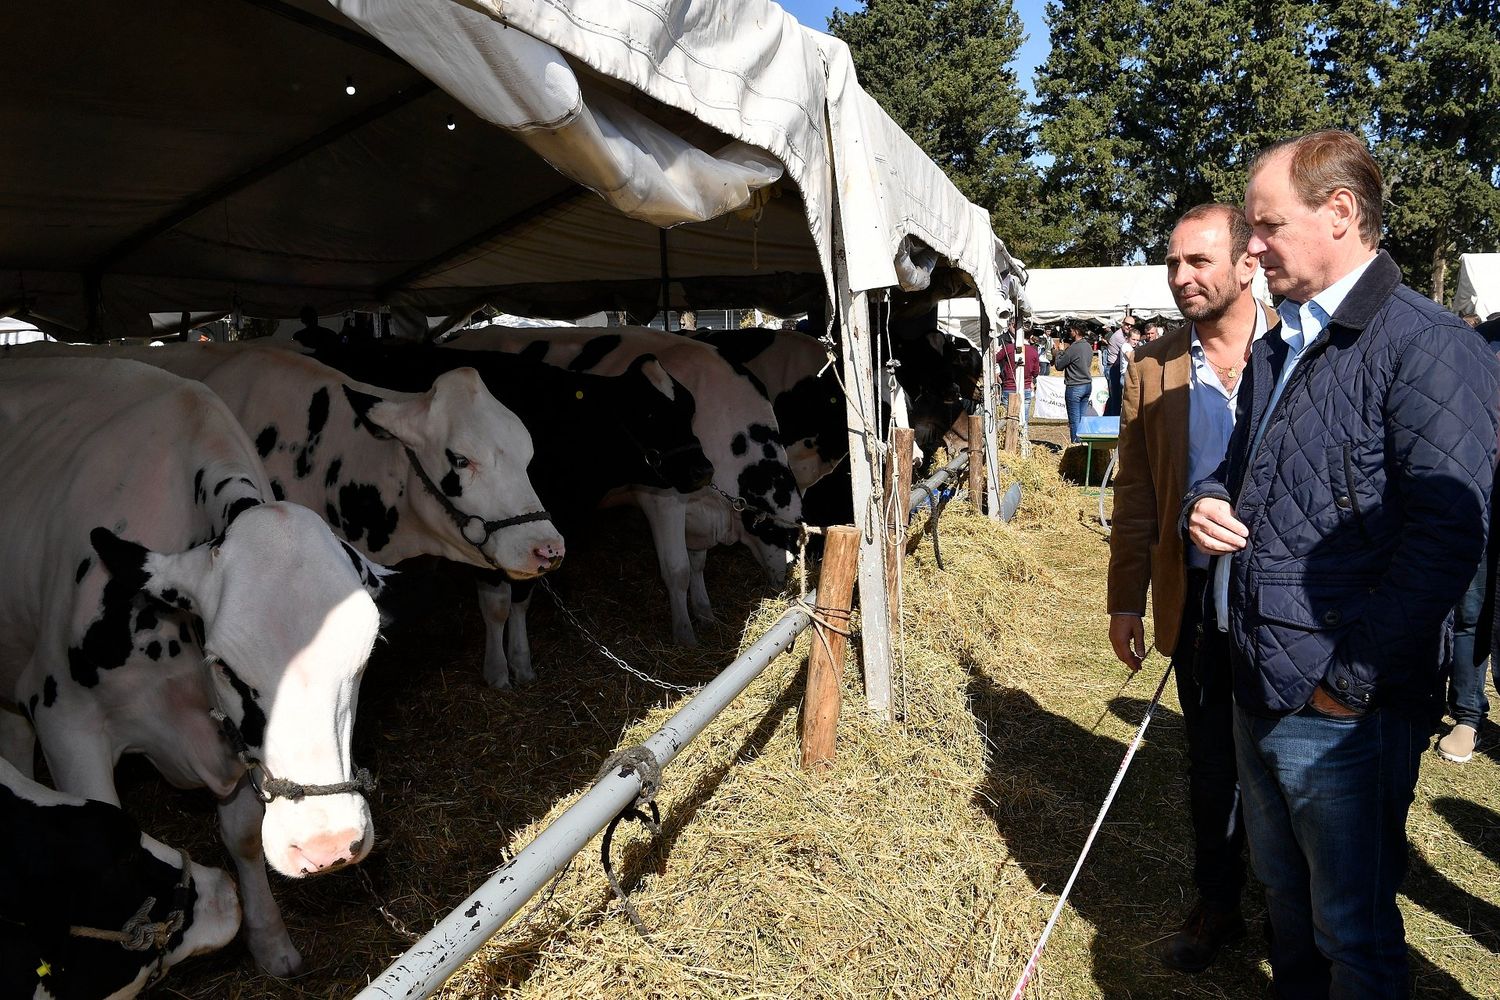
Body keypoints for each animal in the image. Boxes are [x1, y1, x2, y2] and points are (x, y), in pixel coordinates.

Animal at [303, 340, 714, 683]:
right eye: (647, 414)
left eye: (691, 407)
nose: (703, 470)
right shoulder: (481, 533)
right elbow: (498, 606)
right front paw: (498, 671)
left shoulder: (538, 537)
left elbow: (522, 600)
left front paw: (522, 663)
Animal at [441, 325, 810, 644]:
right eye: (775, 532)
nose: (783, 585)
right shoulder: (664, 500)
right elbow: (677, 570)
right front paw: (684, 633)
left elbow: (697, 563)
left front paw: (705, 612)